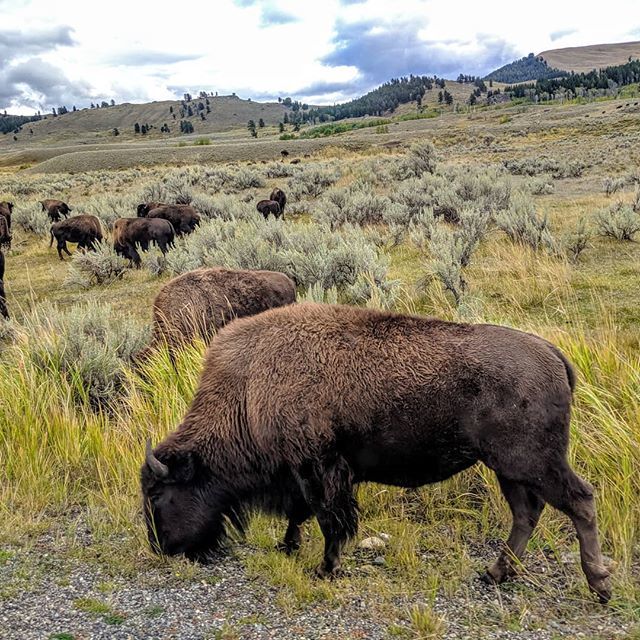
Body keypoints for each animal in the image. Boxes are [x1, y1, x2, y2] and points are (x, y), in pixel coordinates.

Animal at [142, 303, 611, 604]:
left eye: (157, 494)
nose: (160, 547)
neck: (248, 388)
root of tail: (551, 353)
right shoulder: (301, 472)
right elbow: (301, 513)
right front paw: (289, 547)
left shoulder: (321, 470)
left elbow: (331, 519)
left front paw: (325, 568)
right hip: (508, 468)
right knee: (526, 513)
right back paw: (495, 574)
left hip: (532, 462)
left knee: (580, 500)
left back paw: (599, 586)